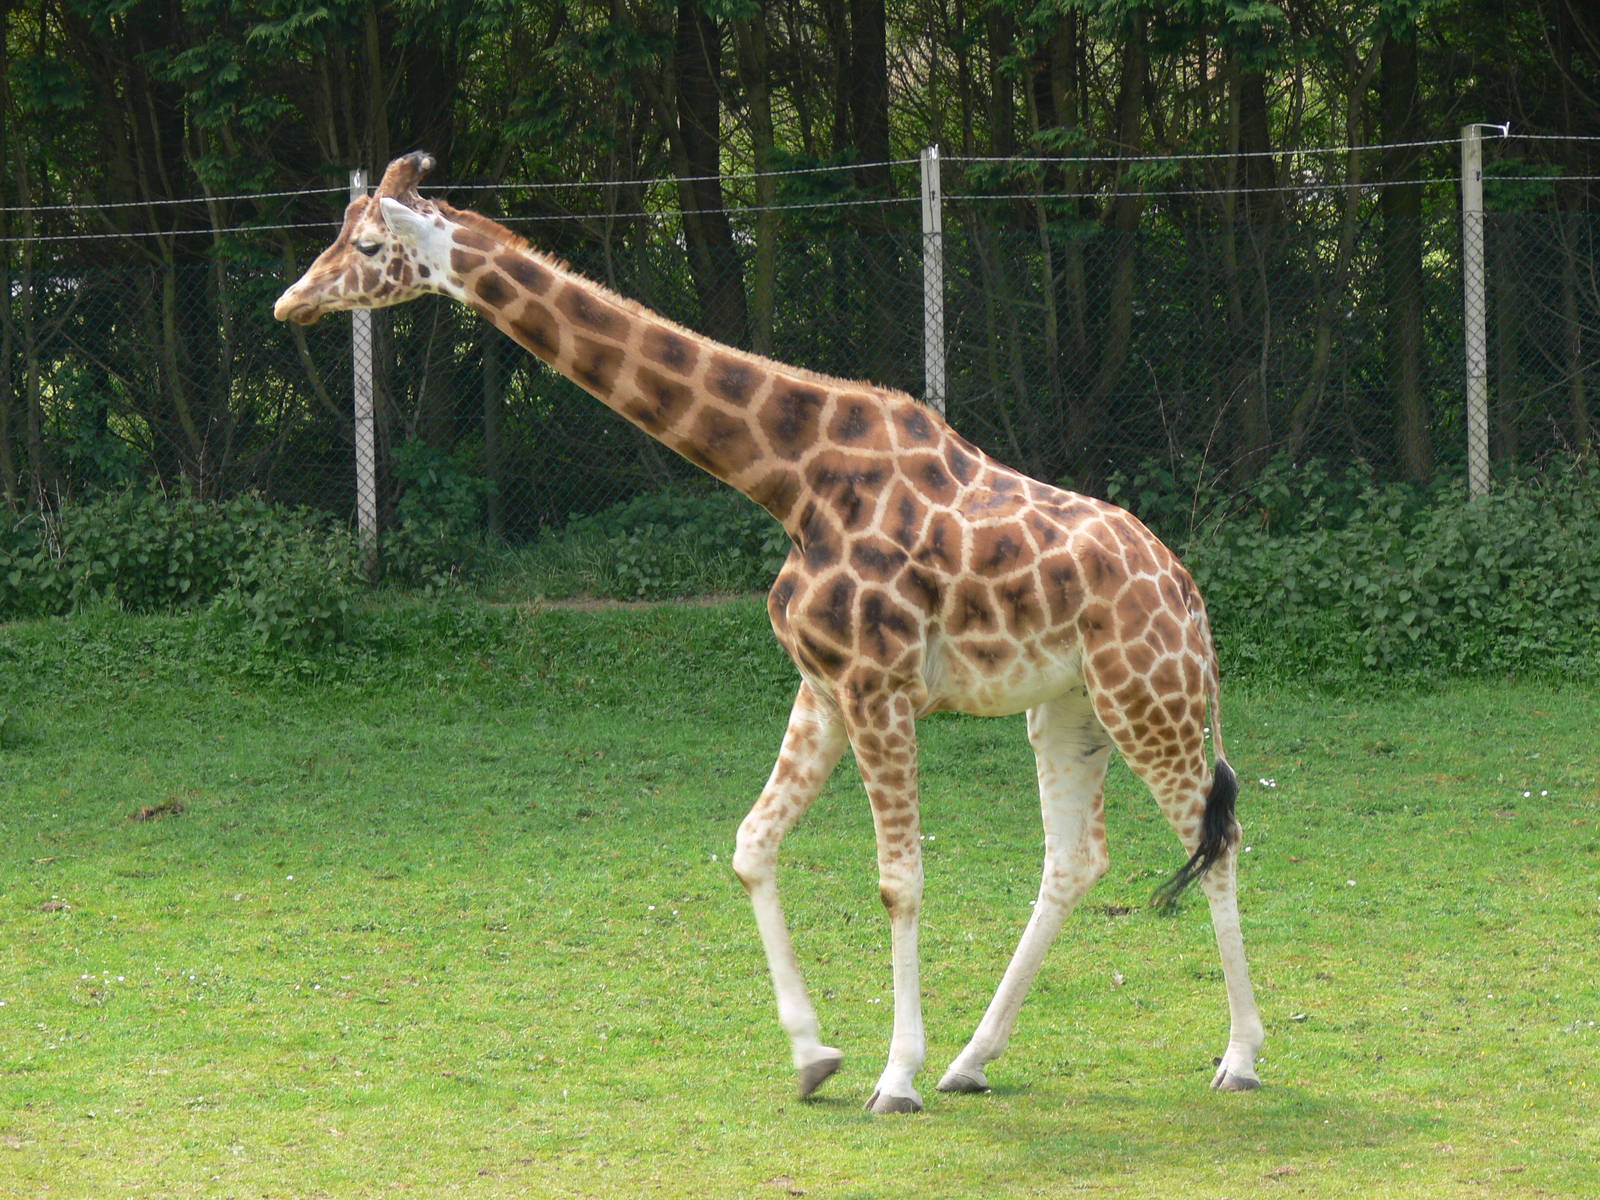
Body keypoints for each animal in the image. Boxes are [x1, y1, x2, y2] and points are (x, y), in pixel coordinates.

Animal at [275, 151, 1264, 1113]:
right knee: (1076, 861)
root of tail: (1190, 597)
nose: (292, 301)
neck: (790, 480)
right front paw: (814, 1056)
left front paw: (894, 1078)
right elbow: (752, 845)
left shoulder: (877, 686)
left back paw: (1239, 1058)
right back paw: (972, 1061)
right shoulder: (823, 685)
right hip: (1068, 709)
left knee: (1214, 842)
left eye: (368, 246)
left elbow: (898, 880)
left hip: (1148, 700)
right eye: (341, 233)